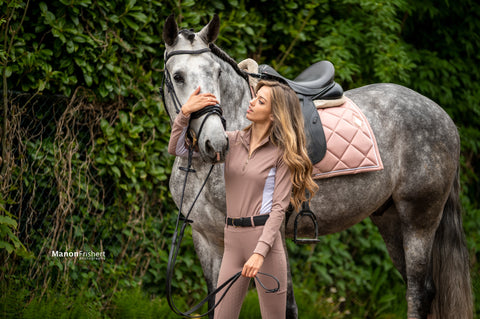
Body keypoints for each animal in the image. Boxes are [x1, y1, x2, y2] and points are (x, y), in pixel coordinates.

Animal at [161, 13, 472, 318]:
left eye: (217, 73)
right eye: (178, 76)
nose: (216, 143)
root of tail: (442, 115)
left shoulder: (269, 234)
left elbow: (285, 305)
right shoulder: (207, 239)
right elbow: (216, 303)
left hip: (419, 220)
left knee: (419, 293)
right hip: (390, 219)